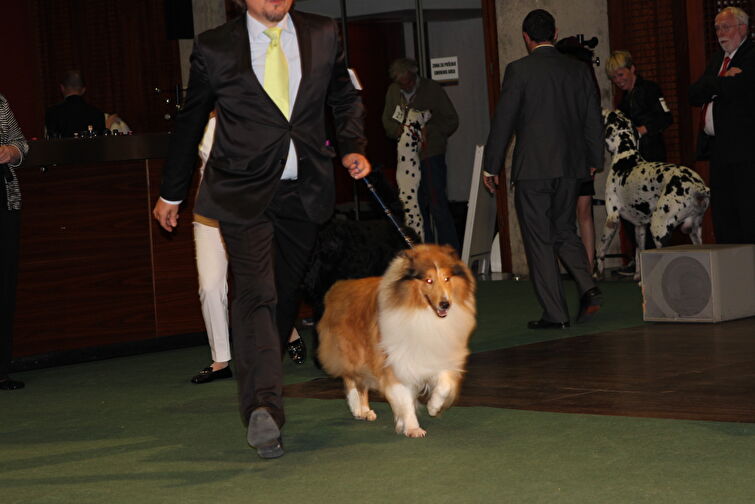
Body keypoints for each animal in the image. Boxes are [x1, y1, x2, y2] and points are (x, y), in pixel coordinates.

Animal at [316, 244, 476, 438]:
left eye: (447, 279)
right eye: (428, 280)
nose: (445, 304)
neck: (421, 313)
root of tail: (338, 287)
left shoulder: (438, 354)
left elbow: (444, 384)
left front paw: (433, 407)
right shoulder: (395, 362)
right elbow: (404, 399)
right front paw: (413, 427)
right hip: (354, 353)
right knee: (353, 380)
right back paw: (359, 410)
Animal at [600, 110, 712, 282]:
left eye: (611, 114)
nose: (603, 110)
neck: (626, 156)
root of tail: (697, 186)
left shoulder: (612, 218)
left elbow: (601, 249)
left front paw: (596, 272)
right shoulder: (639, 227)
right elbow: (638, 253)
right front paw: (638, 277)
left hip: (659, 229)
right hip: (694, 232)